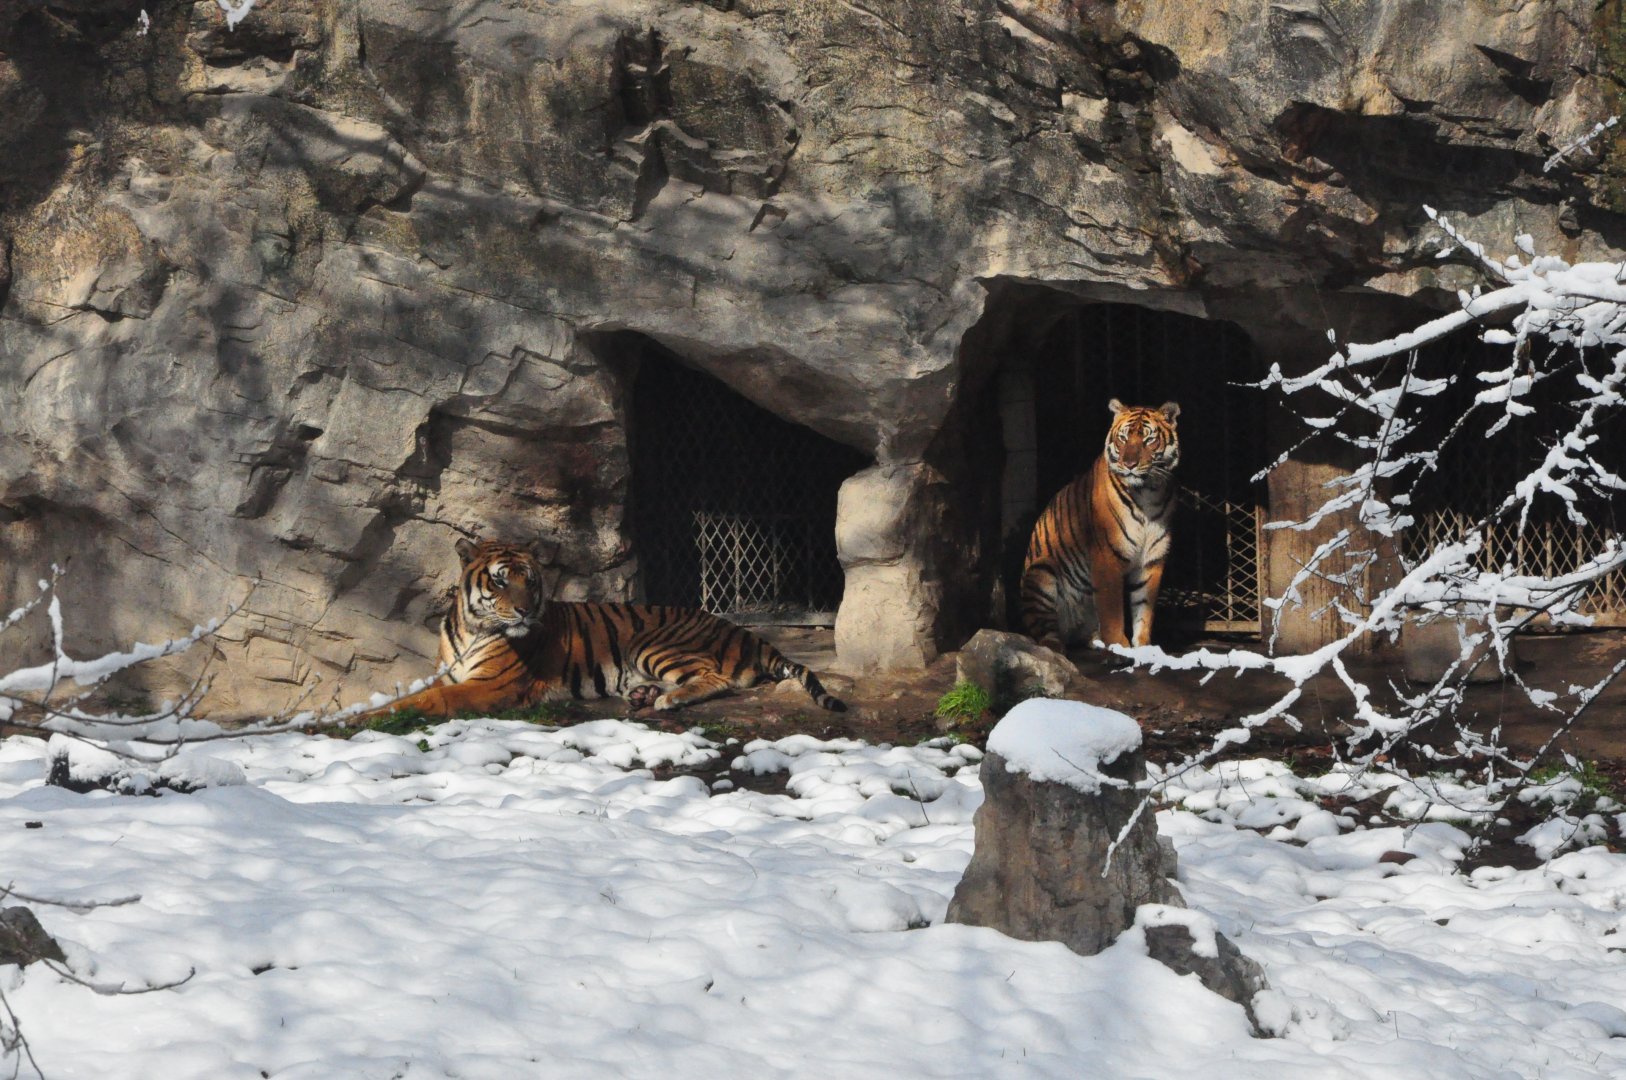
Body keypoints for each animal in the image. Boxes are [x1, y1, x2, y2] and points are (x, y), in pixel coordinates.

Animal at [362, 536, 846, 720]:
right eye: (499, 580)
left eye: (529, 581)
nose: (523, 612)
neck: (472, 628)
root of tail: (745, 631)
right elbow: (406, 694)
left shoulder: (491, 686)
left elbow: (426, 700)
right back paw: (644, 695)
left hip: (653, 644)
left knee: (717, 678)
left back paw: (667, 699)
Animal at [1019, 399, 1180, 653]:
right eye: (1123, 438)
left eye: (1148, 439)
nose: (1129, 464)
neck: (1148, 492)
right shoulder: (1107, 555)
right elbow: (1112, 608)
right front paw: (1119, 645)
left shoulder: (1152, 559)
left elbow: (1144, 609)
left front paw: (1144, 647)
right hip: (1041, 570)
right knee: (1044, 632)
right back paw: (1056, 647)